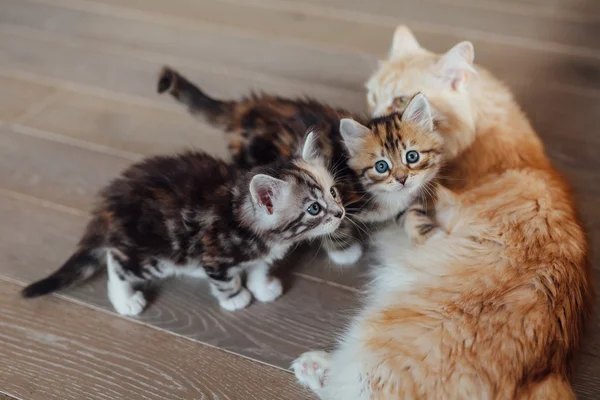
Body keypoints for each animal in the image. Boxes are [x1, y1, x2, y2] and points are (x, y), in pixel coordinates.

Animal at [23, 134, 344, 316]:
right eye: (314, 209)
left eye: (333, 191)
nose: (340, 213)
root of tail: (109, 201)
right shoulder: (215, 256)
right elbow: (226, 280)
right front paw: (236, 298)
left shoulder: (262, 253)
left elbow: (259, 267)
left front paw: (262, 287)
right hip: (153, 255)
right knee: (117, 264)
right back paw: (125, 302)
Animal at [157, 68, 442, 266]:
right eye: (382, 166)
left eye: (412, 157)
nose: (402, 178)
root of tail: (245, 108)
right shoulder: (336, 199)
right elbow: (333, 226)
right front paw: (346, 253)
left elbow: (413, 213)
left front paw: (431, 238)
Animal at [292, 26, 592, 398]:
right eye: (372, 96)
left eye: (399, 100)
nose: (372, 121)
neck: (481, 127)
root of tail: (549, 372)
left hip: (377, 348)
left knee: (347, 386)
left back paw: (311, 365)